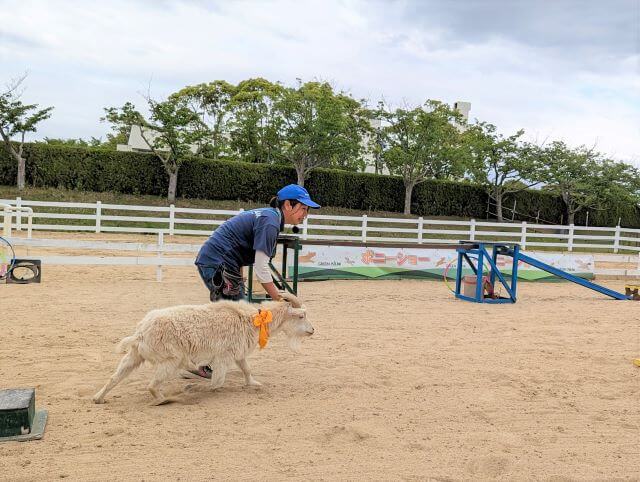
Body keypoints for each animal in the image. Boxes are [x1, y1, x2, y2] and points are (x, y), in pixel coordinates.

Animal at [94, 292, 312, 404]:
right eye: (301, 316)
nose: (312, 330)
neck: (252, 319)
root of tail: (140, 333)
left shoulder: (237, 352)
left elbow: (246, 369)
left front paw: (253, 384)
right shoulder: (223, 358)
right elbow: (217, 383)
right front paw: (195, 388)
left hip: (134, 356)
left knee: (115, 377)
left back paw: (98, 398)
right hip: (171, 360)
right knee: (152, 385)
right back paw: (165, 399)